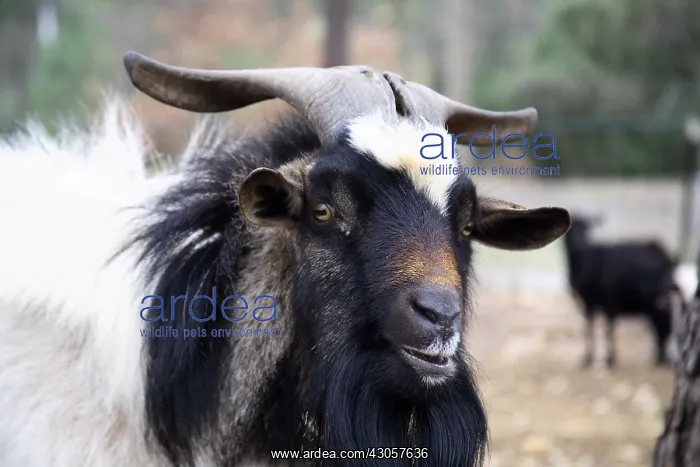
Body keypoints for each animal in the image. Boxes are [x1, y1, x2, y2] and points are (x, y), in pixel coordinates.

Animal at [563, 215, 679, 368]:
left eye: (587, 228)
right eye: (572, 227)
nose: (579, 243)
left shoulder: (610, 304)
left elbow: (608, 330)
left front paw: (610, 359)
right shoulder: (588, 304)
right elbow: (589, 329)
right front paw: (588, 358)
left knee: (663, 325)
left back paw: (662, 359)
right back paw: (661, 358)